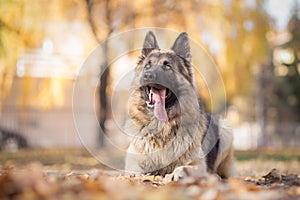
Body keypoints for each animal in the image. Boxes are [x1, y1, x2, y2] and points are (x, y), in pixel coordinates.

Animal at [124, 31, 234, 180]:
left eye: (167, 66)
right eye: (147, 65)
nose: (148, 75)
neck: (160, 126)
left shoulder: (198, 164)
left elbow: (184, 167)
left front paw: (177, 174)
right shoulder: (133, 161)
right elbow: (134, 170)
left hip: (225, 128)